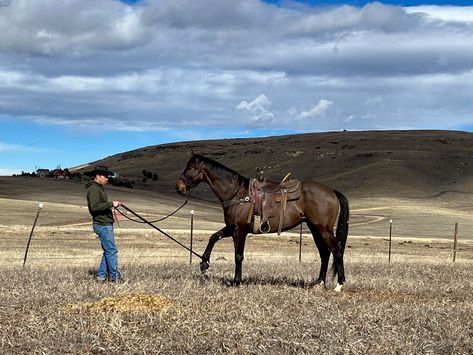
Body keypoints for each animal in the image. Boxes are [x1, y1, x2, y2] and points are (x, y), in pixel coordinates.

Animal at [175, 154, 348, 290]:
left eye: (190, 167)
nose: (178, 187)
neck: (237, 193)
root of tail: (333, 191)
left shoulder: (239, 230)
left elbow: (238, 255)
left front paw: (236, 281)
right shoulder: (231, 227)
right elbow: (213, 237)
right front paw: (204, 263)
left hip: (323, 229)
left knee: (336, 250)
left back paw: (339, 285)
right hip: (315, 228)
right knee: (325, 253)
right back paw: (319, 283)